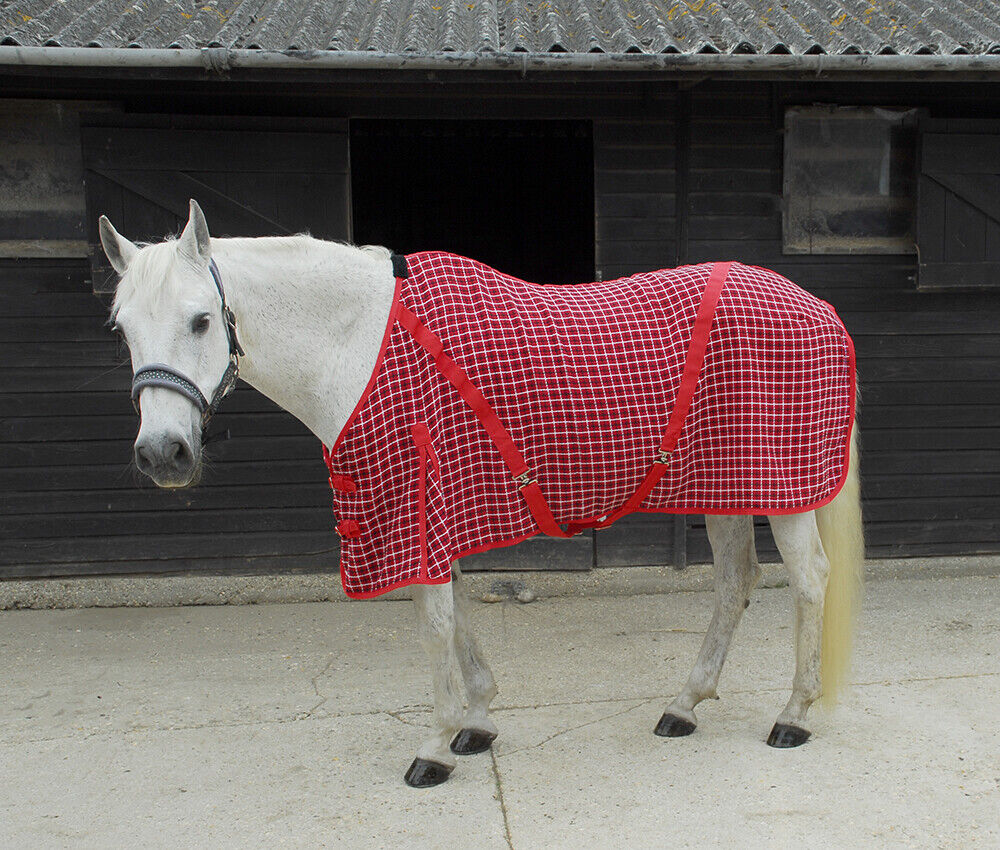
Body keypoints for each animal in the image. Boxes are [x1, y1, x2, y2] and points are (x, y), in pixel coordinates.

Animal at [99, 199, 863, 788]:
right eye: (122, 327)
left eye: (201, 319)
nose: (162, 454)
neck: (361, 343)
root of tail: (822, 308)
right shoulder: (437, 513)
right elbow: (457, 608)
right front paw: (477, 721)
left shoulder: (414, 506)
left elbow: (435, 620)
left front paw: (435, 746)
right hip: (723, 487)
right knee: (735, 580)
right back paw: (684, 705)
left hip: (785, 490)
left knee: (808, 580)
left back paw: (793, 715)